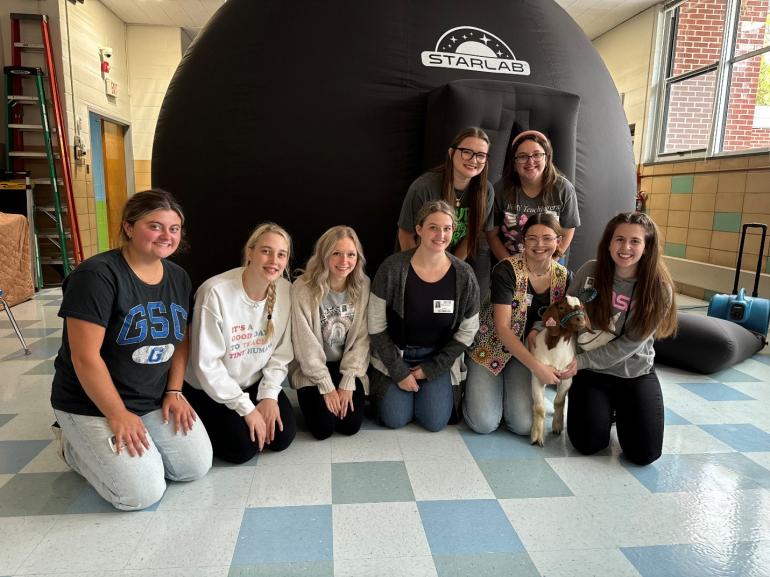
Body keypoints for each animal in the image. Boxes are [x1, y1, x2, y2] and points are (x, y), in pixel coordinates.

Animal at [532, 296, 584, 446]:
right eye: (561, 307)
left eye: (582, 307)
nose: (580, 319)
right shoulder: (538, 376)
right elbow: (539, 407)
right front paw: (537, 436)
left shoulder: (566, 378)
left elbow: (559, 402)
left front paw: (557, 425)